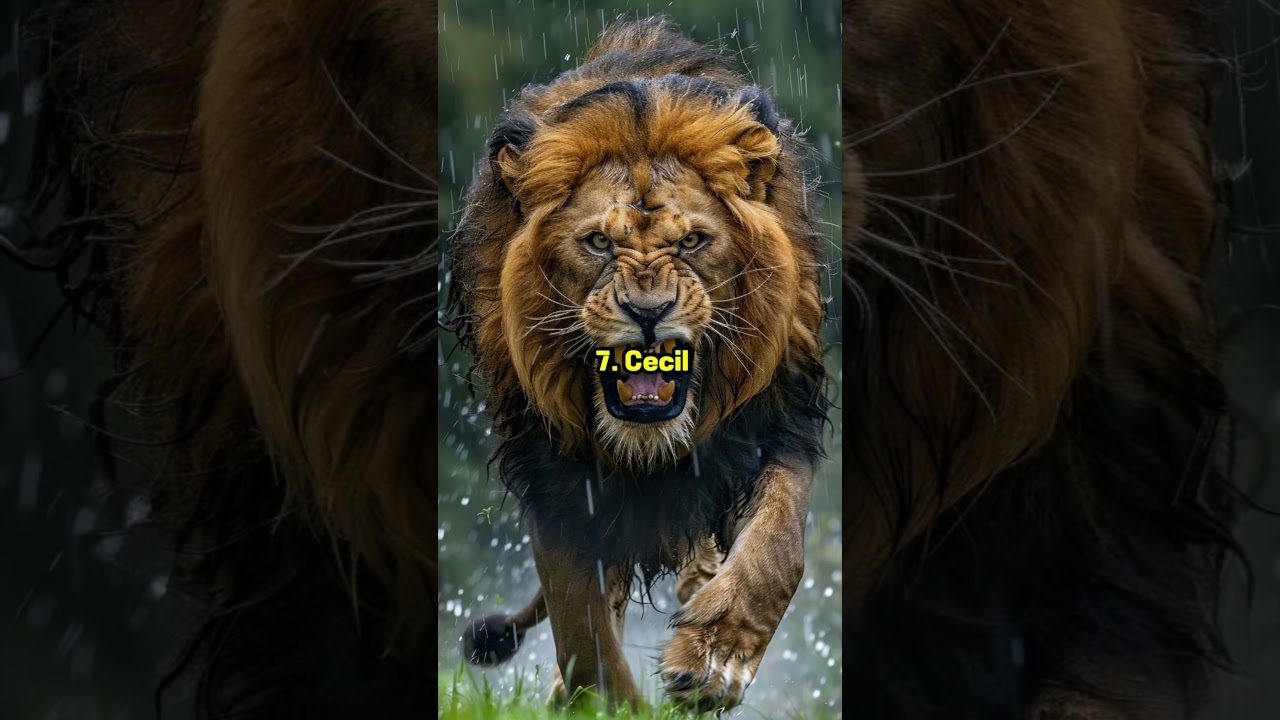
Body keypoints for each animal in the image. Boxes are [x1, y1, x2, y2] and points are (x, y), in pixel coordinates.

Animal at [445, 18, 831, 712]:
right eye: (599, 241)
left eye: (693, 242)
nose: (647, 312)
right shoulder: (555, 467)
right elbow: (582, 627)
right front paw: (607, 706)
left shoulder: (775, 420)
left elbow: (777, 550)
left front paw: (713, 660)